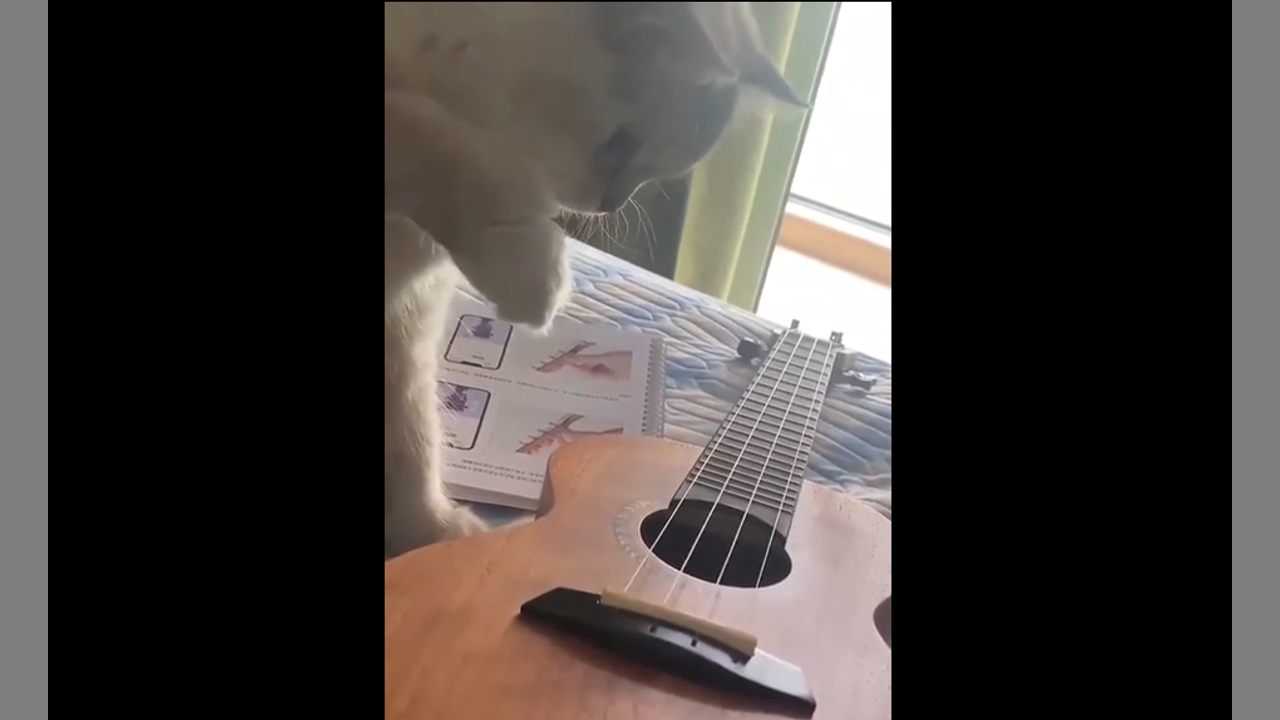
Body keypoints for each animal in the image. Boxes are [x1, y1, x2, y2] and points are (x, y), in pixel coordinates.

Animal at [384, 2, 801, 560]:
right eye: (622, 145)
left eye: (651, 174)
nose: (611, 204)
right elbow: (428, 145)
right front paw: (535, 273)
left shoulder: (410, 317)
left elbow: (411, 447)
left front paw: (429, 543)